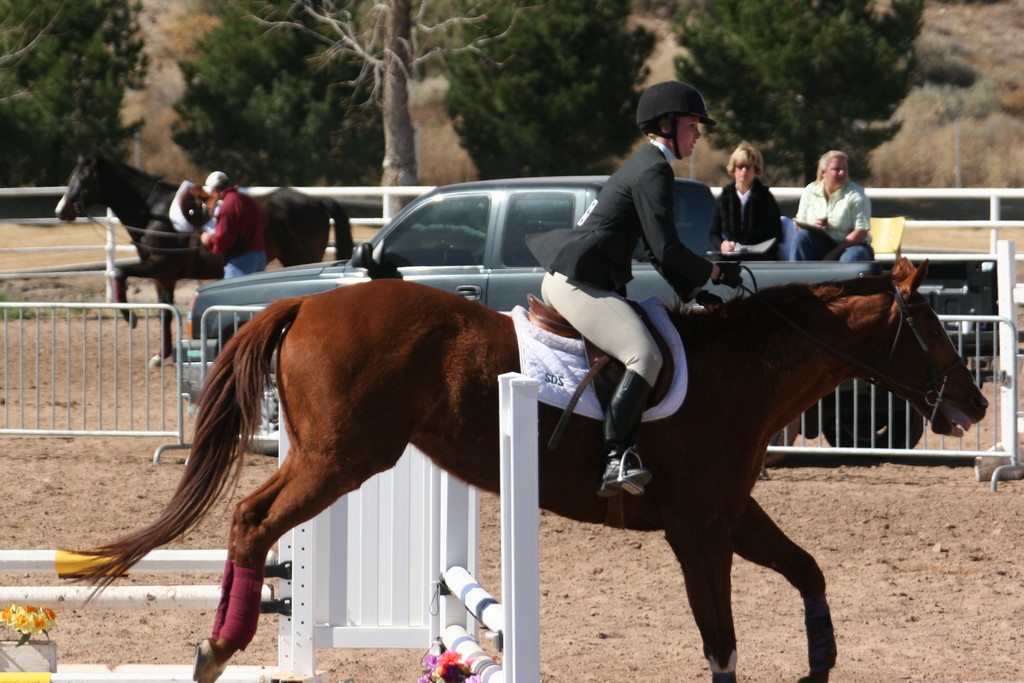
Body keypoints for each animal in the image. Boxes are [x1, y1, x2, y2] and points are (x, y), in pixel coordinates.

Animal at [56, 156, 354, 362]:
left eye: (84, 180)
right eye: (71, 176)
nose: (62, 210)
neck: (154, 212)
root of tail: (316, 201)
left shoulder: (159, 265)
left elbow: (119, 272)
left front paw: (131, 318)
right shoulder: (163, 277)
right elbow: (165, 313)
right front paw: (161, 355)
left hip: (301, 258)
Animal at [72, 259, 983, 679]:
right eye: (932, 327)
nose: (974, 404)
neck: (741, 370)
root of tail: (306, 301)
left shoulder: (730, 515)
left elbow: (808, 570)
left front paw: (822, 659)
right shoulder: (697, 532)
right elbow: (720, 640)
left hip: (333, 456)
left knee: (252, 520)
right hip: (340, 459)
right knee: (253, 520)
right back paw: (220, 644)